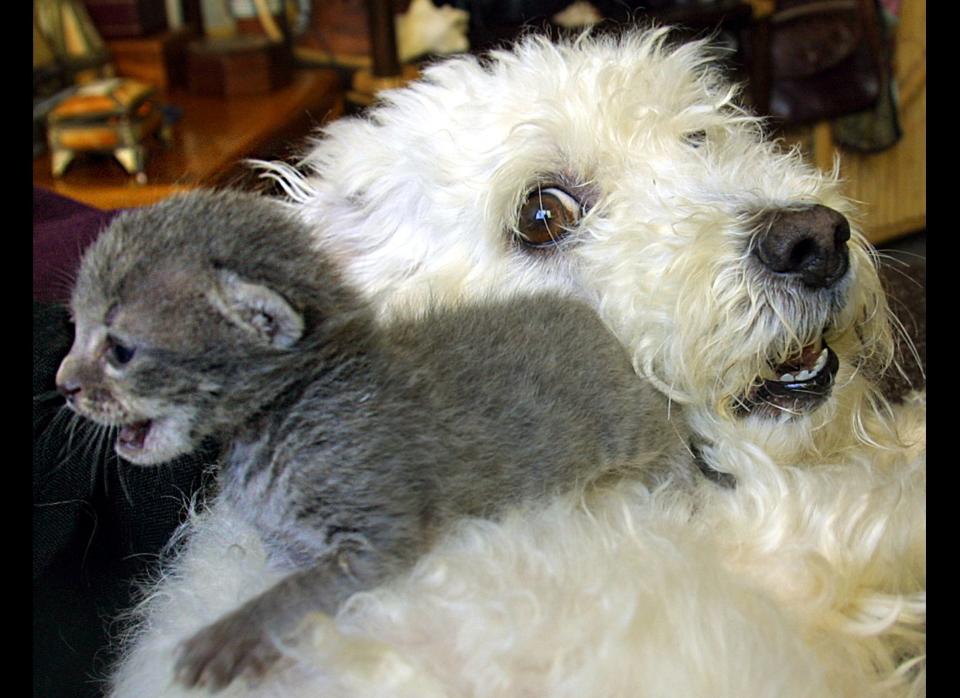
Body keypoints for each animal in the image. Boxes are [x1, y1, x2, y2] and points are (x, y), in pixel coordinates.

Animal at [56, 188, 692, 688]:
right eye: (75, 329)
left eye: (119, 351)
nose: (64, 386)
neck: (278, 417)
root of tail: (594, 320)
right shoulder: (286, 547)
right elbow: (282, 582)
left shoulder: (379, 535)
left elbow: (292, 595)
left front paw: (230, 638)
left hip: (631, 428)